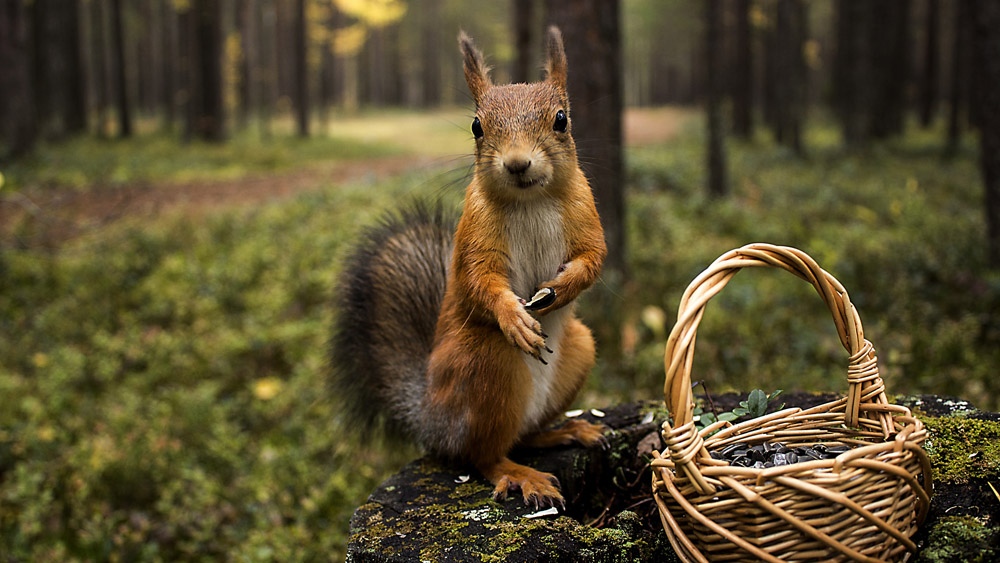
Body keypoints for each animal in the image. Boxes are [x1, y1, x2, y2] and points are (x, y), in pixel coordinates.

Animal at [332, 27, 604, 512]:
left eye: (561, 120)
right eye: (477, 126)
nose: (517, 163)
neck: (531, 200)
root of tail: (430, 419)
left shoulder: (586, 213)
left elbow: (593, 258)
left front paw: (563, 286)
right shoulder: (475, 234)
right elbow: (480, 280)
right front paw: (514, 317)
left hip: (579, 350)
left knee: (524, 435)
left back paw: (567, 430)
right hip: (485, 364)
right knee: (483, 454)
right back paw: (520, 474)